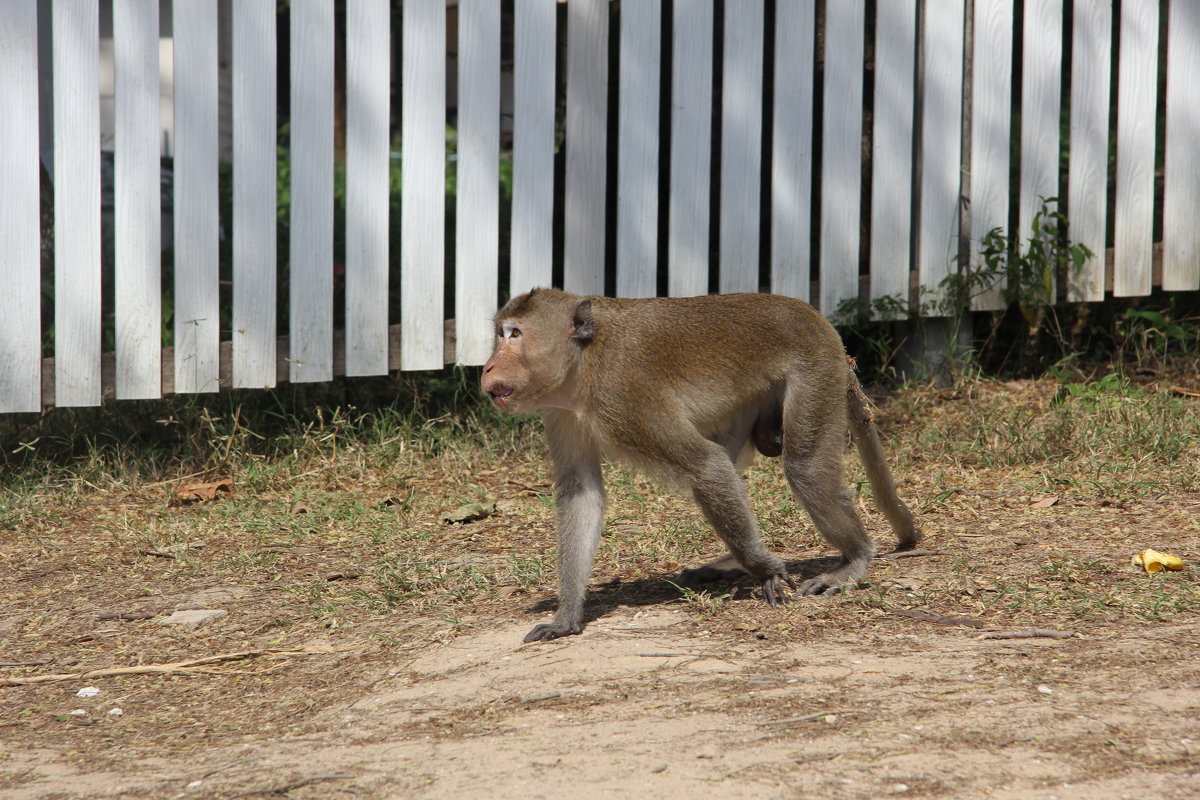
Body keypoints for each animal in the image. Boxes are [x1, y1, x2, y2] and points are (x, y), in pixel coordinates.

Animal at [480, 289, 916, 642]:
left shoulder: (624, 395)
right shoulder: (562, 412)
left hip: (815, 370)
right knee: (731, 463)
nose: (486, 367)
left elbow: (705, 466)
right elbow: (581, 492)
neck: (584, 361)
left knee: (802, 469)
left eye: (514, 334)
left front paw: (765, 570)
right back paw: (730, 564)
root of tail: (817, 318)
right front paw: (567, 616)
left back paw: (854, 557)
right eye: (500, 332)